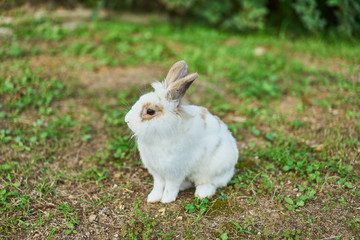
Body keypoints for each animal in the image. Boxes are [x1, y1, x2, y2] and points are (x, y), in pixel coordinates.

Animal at [124, 60, 239, 202]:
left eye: (150, 111)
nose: (127, 120)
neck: (161, 133)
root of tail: (231, 167)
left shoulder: (174, 172)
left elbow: (171, 186)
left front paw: (166, 200)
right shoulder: (157, 172)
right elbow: (158, 185)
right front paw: (153, 198)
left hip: (212, 170)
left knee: (211, 183)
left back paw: (202, 193)